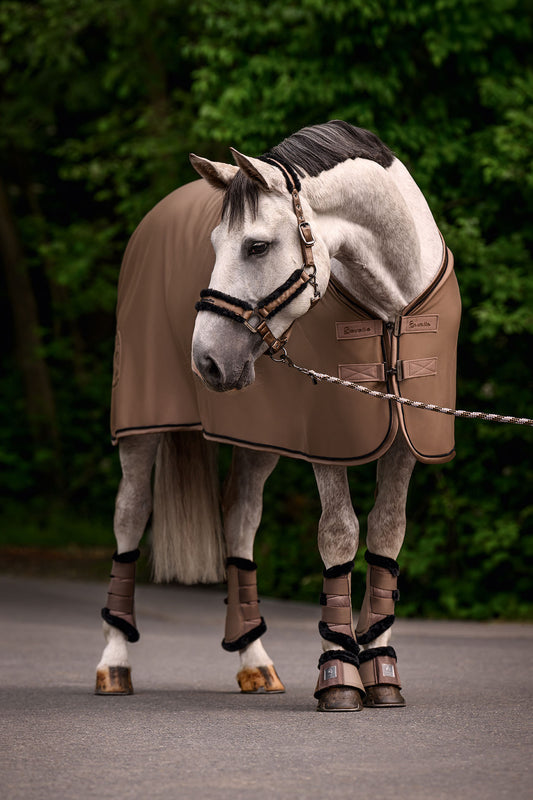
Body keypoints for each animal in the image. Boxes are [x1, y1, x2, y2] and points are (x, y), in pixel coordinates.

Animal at [96, 120, 461, 711]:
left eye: (257, 244)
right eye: (214, 245)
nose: (206, 361)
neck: (390, 304)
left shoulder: (406, 437)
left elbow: (387, 533)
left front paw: (382, 670)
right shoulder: (328, 443)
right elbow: (339, 534)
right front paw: (339, 674)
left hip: (259, 442)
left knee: (239, 519)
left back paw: (254, 660)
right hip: (140, 429)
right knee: (130, 515)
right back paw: (113, 662)